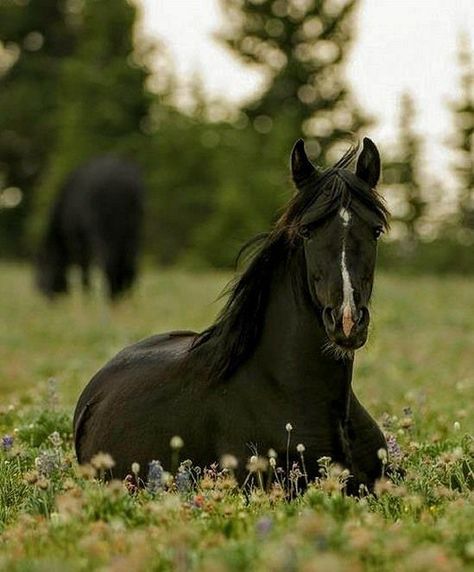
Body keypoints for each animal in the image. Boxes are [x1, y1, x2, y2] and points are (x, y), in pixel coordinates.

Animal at [36, 154, 143, 302]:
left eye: (42, 270)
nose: (44, 295)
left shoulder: (78, 242)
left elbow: (83, 269)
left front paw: (86, 295)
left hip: (103, 232)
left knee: (108, 263)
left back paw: (110, 296)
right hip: (133, 230)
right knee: (130, 263)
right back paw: (125, 296)